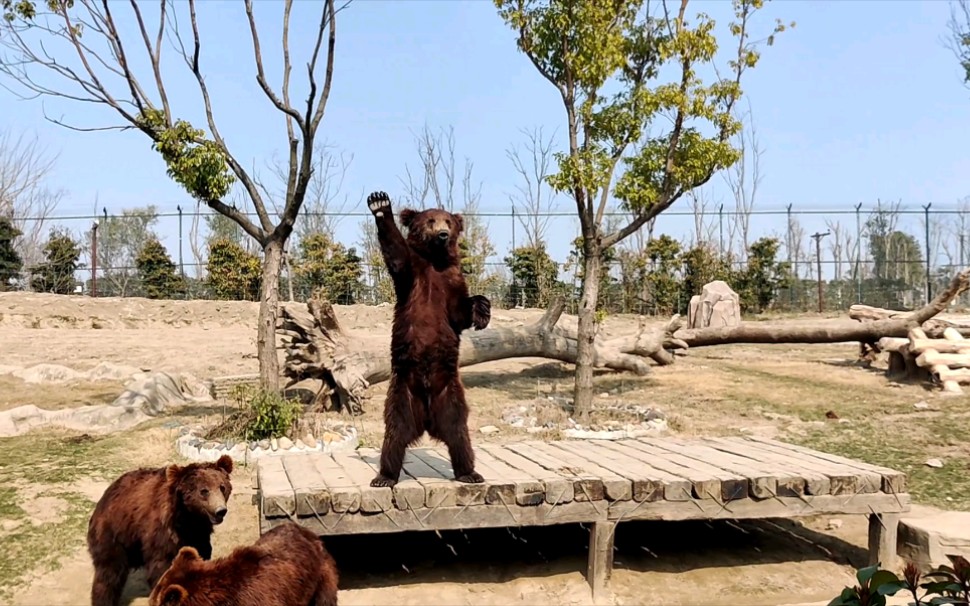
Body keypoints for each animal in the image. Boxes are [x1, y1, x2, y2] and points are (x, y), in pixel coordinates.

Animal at [89, 456, 236, 606]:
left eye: (222, 487)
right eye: (204, 490)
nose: (220, 511)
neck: (187, 517)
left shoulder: (197, 534)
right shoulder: (162, 532)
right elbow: (162, 567)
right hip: (114, 531)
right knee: (109, 572)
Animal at [366, 190, 496, 490]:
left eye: (448, 221)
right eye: (430, 221)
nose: (443, 235)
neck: (435, 261)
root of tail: (426, 419)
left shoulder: (452, 281)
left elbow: (460, 312)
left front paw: (482, 310)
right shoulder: (413, 276)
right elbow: (397, 254)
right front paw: (380, 203)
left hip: (451, 395)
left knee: (460, 435)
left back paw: (469, 473)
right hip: (402, 393)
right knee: (394, 435)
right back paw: (384, 477)